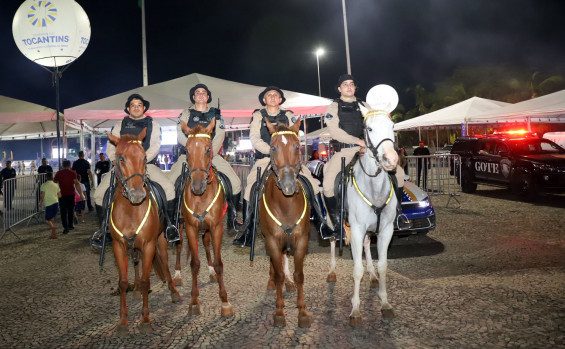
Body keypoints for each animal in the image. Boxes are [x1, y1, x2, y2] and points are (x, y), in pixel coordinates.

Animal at [107, 128, 181, 334]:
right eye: (121, 158)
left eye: (144, 156)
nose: (137, 194)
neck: (131, 210)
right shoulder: (118, 246)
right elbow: (123, 281)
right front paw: (122, 321)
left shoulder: (148, 245)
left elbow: (149, 279)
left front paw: (145, 320)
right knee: (136, 263)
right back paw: (137, 288)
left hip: (161, 238)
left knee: (163, 261)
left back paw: (173, 291)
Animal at [181, 118, 234, 316]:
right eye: (187, 150)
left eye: (208, 149)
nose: (197, 186)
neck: (200, 197)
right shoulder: (190, 228)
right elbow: (195, 264)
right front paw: (194, 301)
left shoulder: (216, 227)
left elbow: (219, 263)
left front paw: (225, 302)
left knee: (206, 244)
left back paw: (211, 273)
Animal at [326, 109, 396, 326]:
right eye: (369, 129)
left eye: (392, 126)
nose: (391, 159)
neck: (374, 189)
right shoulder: (356, 229)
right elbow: (357, 270)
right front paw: (355, 310)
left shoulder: (386, 230)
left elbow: (383, 266)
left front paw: (385, 302)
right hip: (333, 222)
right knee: (333, 241)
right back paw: (332, 272)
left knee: (366, 245)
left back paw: (372, 275)